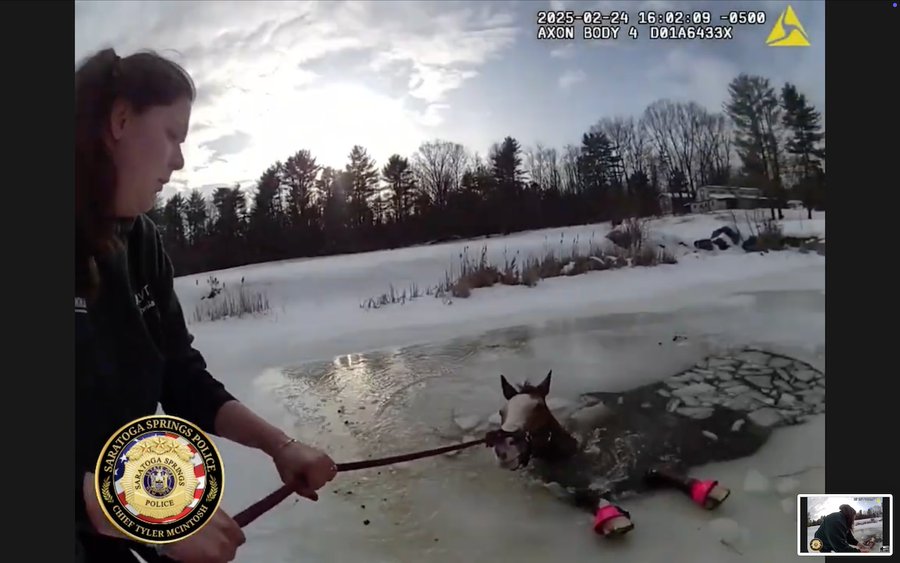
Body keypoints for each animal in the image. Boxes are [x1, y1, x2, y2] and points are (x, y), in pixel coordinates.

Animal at [488, 348, 828, 536]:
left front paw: (711, 490)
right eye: (502, 412)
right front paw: (614, 521)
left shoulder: (650, 456)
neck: (579, 453)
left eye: (538, 410)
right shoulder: (570, 486)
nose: (504, 451)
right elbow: (591, 498)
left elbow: (668, 472)